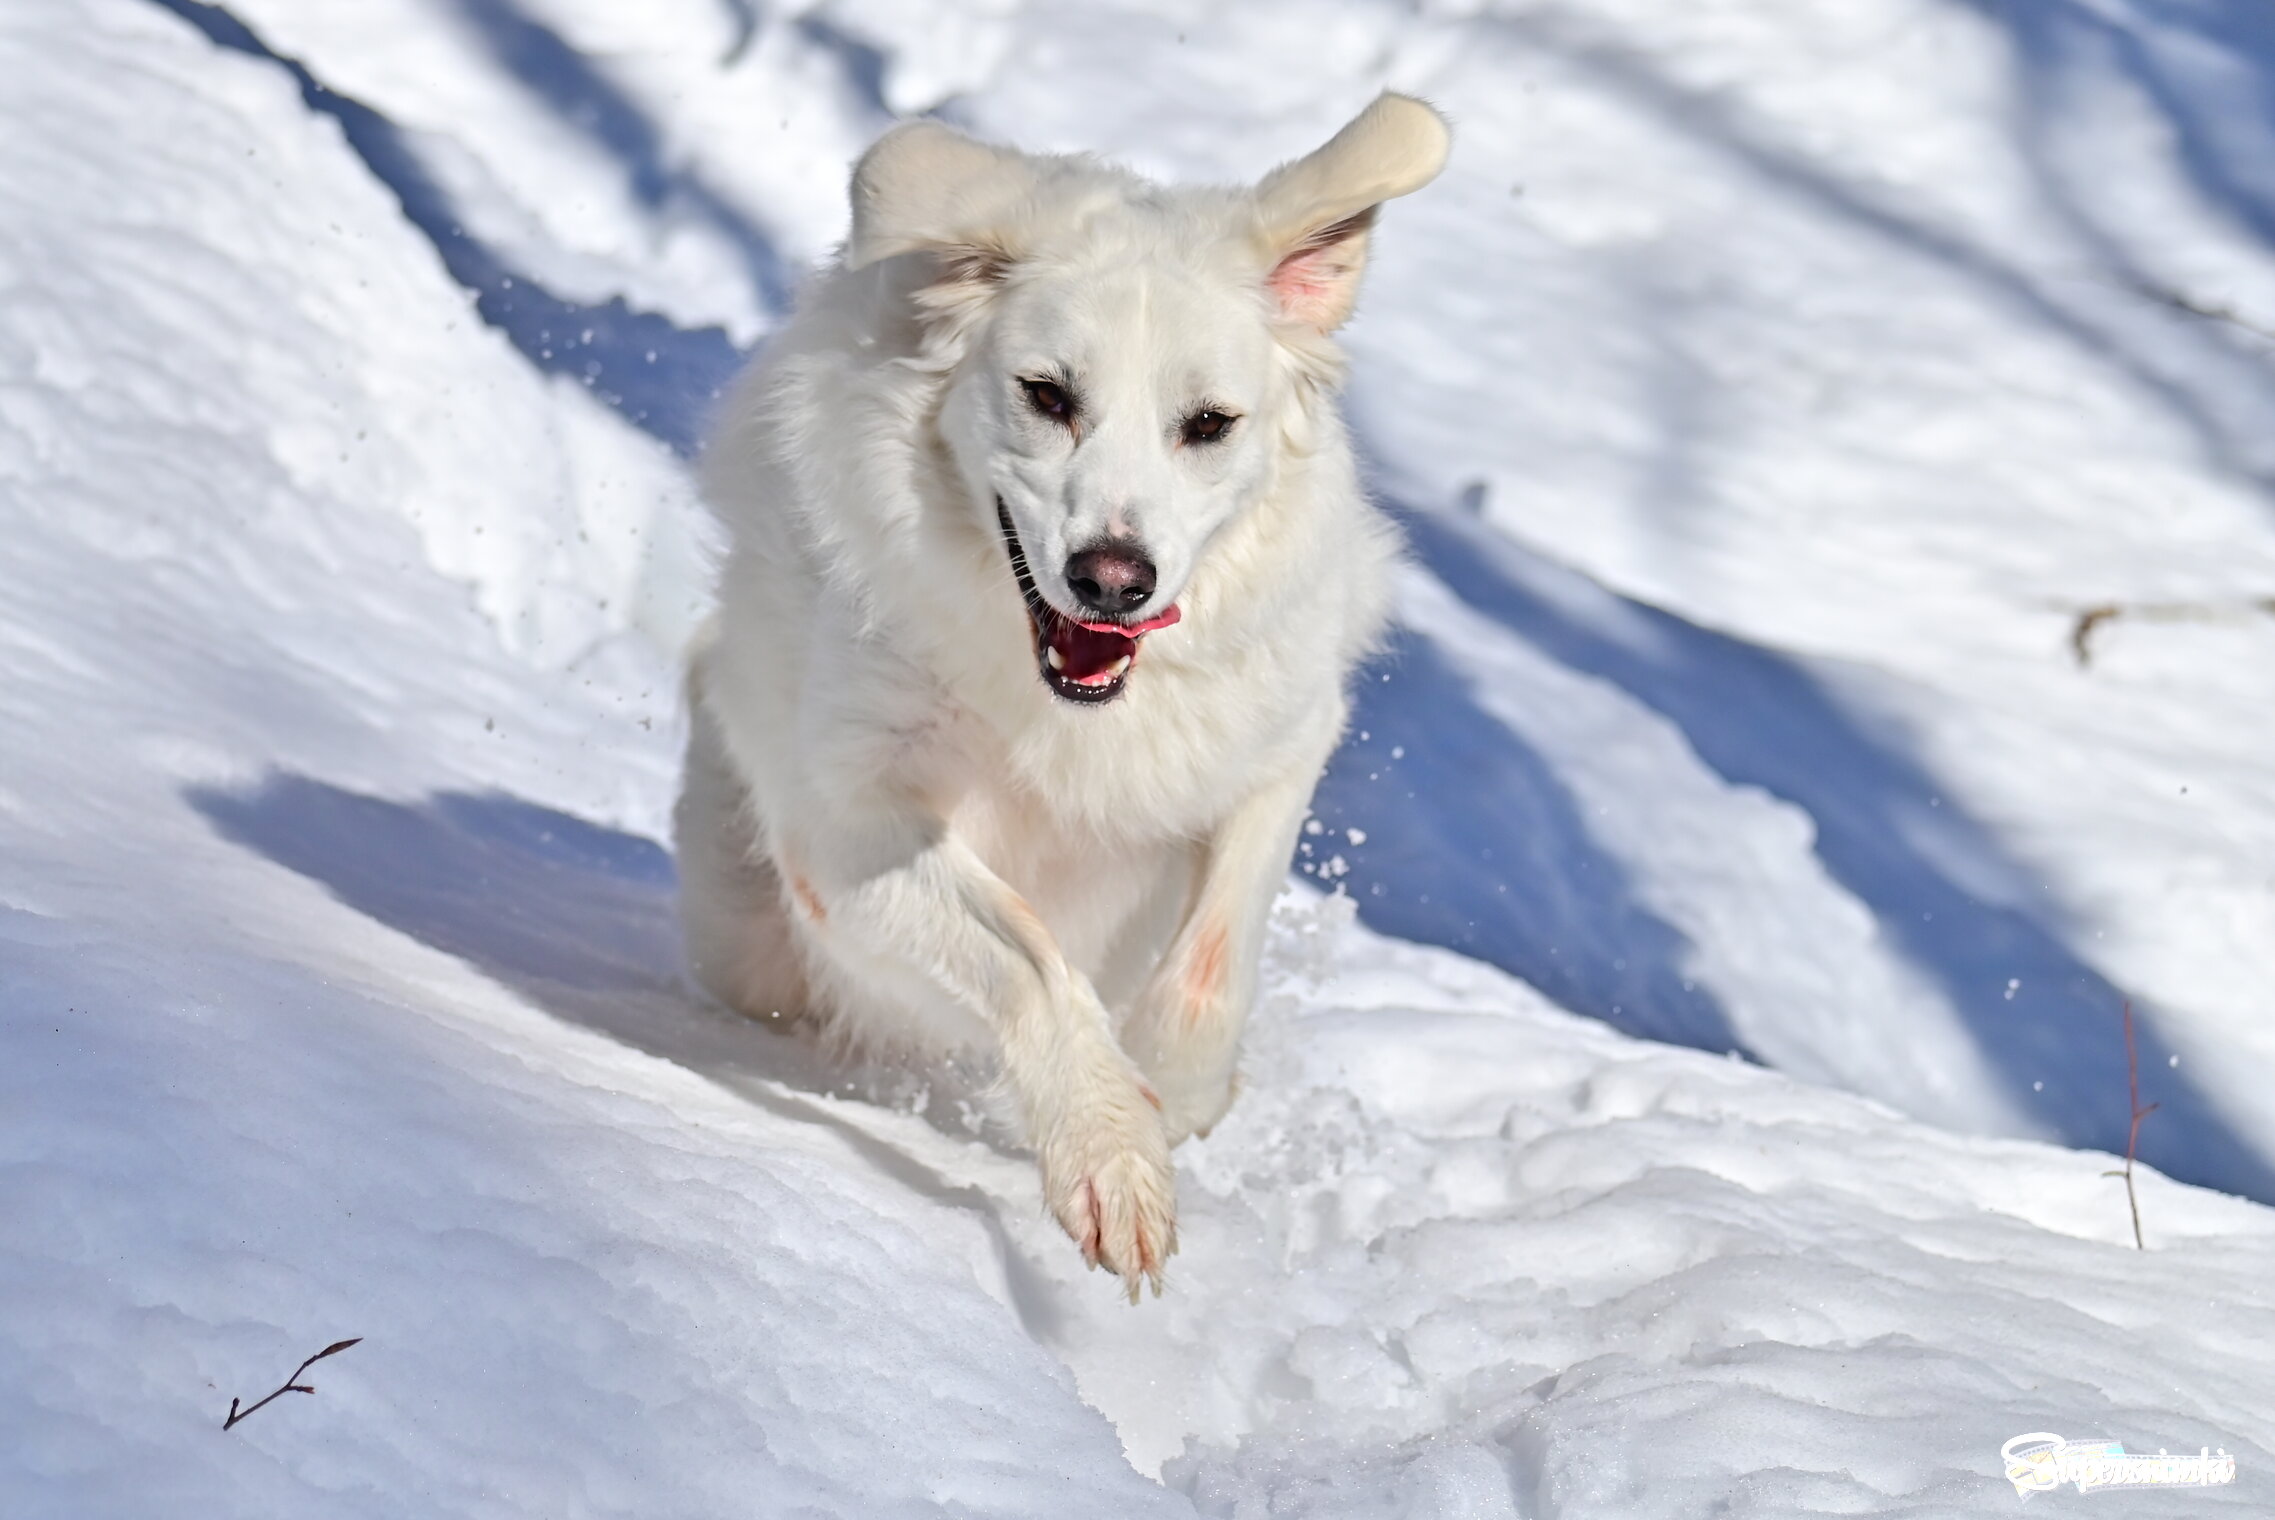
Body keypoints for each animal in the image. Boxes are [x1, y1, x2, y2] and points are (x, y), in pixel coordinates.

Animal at [677, 92, 1456, 1292]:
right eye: (1046, 395)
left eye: (1209, 423)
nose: (1112, 580)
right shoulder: (842, 826)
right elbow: (1032, 960)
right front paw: (1110, 1152)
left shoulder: (1285, 739)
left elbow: (1210, 964)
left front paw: (1174, 1099)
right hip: (748, 930)